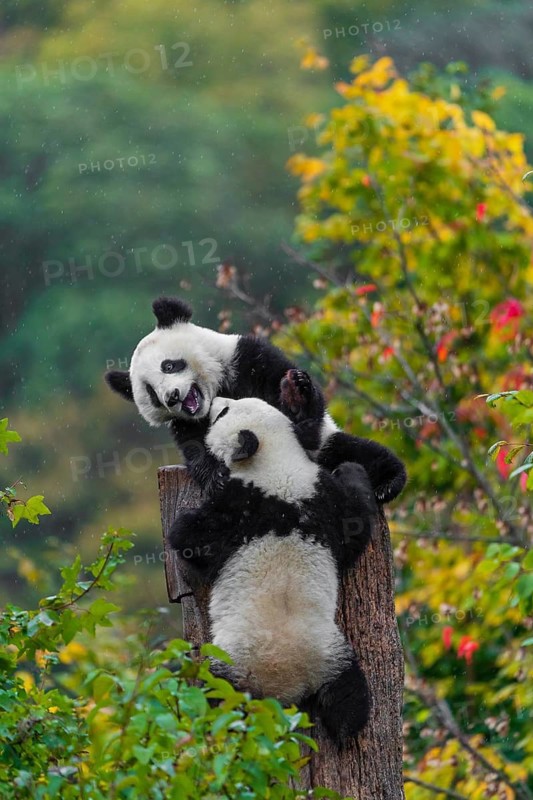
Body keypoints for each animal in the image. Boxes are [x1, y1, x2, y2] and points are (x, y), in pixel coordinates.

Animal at [105, 296, 406, 502]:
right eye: (151, 393)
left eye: (168, 365)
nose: (172, 397)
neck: (216, 388)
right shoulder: (186, 423)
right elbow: (196, 446)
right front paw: (216, 477)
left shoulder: (248, 358)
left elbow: (300, 419)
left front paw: (295, 397)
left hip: (328, 447)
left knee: (356, 454)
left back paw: (386, 484)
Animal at [169, 395, 377, 743]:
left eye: (224, 412)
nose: (216, 401)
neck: (277, 463)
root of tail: (283, 688)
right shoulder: (323, 498)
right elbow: (355, 524)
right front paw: (353, 471)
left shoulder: (239, 504)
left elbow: (189, 536)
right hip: (331, 655)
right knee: (350, 695)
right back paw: (348, 727)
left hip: (233, 665)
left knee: (215, 699)